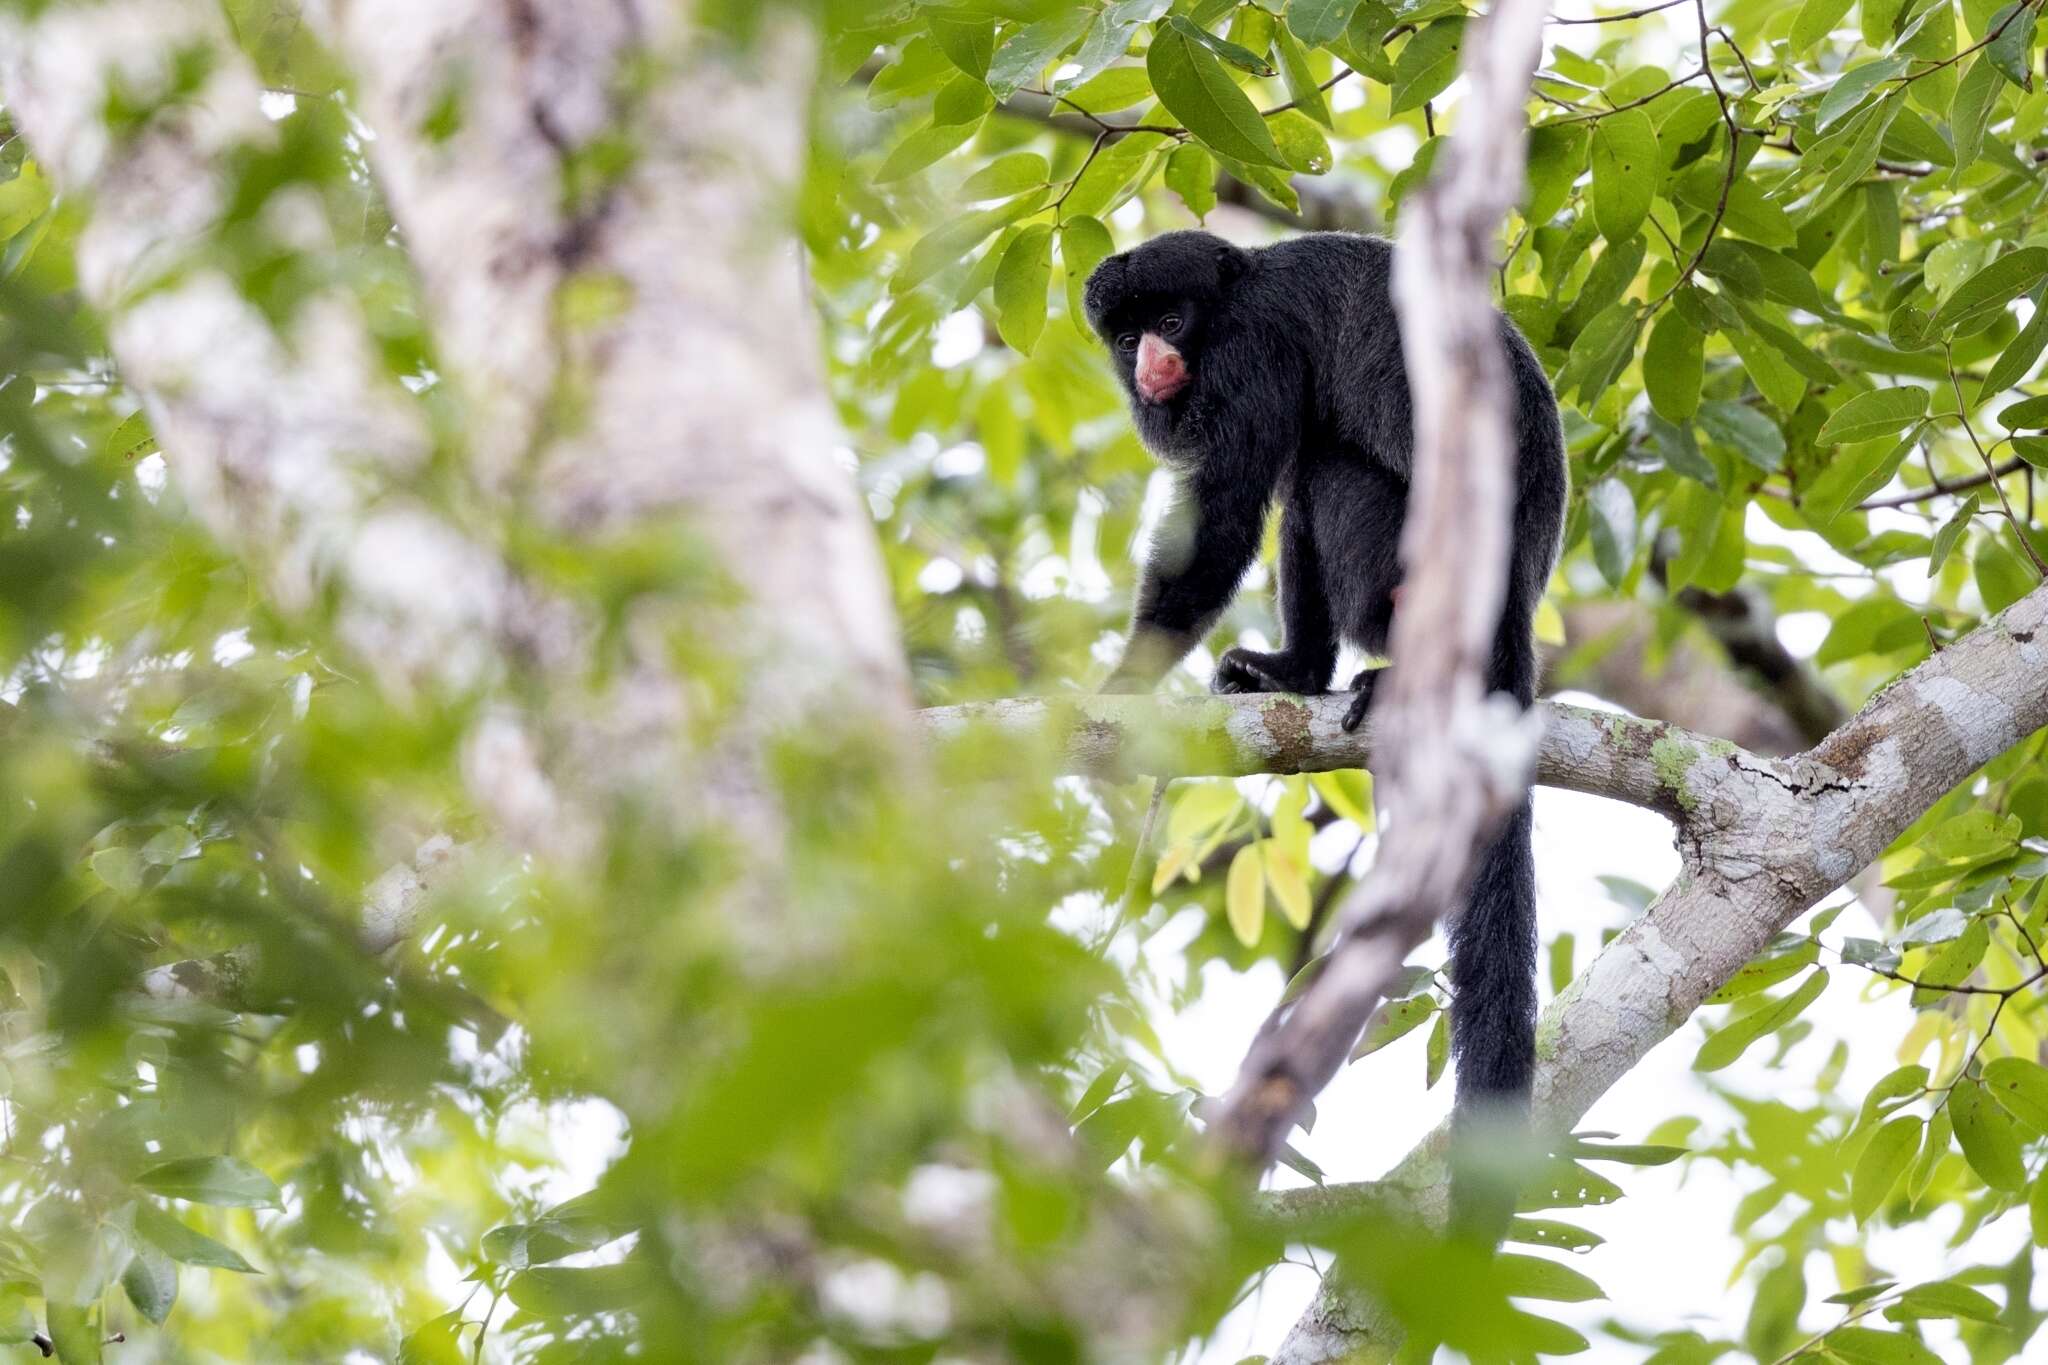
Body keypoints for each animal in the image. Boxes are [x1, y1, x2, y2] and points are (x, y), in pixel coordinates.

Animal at [1089, 229, 1564, 1211]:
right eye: (1124, 336)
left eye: (1170, 322)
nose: (1149, 362)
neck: (1233, 291)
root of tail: (1512, 599)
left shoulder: (1252, 354)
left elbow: (1226, 518)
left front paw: (1120, 684)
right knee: (1304, 480)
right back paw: (1298, 671)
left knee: (1320, 475)